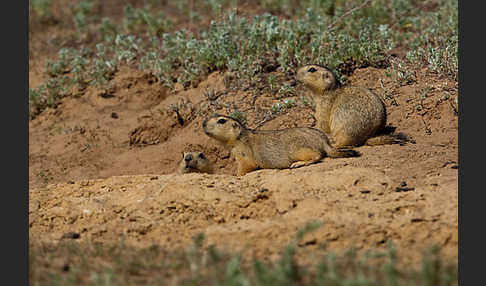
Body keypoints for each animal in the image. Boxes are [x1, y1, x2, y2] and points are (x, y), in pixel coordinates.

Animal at [200, 114, 356, 177]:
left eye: (221, 121)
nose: (202, 123)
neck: (239, 137)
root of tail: (324, 140)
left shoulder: (242, 151)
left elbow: (246, 164)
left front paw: (237, 175)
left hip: (297, 149)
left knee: (317, 155)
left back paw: (298, 163)